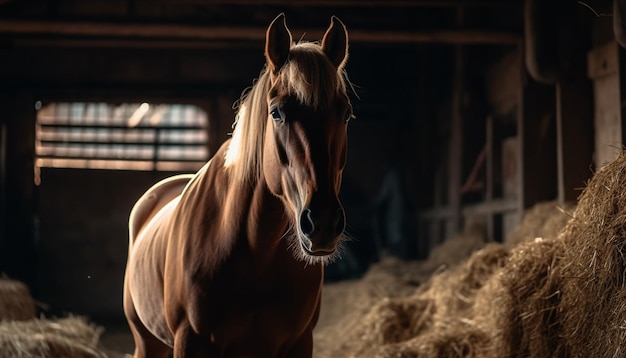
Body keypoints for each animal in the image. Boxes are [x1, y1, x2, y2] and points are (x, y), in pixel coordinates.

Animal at [123, 14, 352, 358]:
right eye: (277, 112)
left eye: (346, 113)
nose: (322, 222)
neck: (255, 251)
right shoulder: (189, 341)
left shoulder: (299, 343)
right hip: (147, 341)